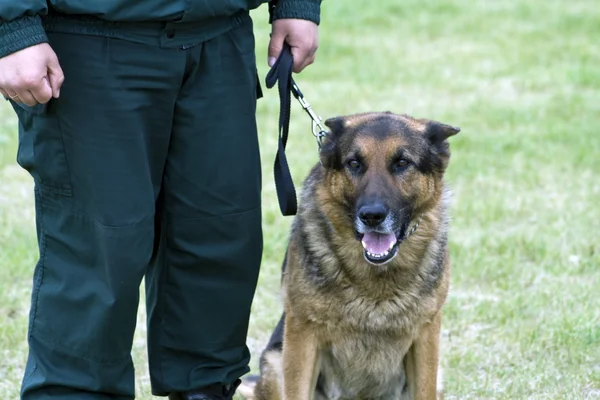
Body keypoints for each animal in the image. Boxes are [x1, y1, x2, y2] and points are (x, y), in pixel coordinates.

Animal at [239, 111, 460, 398]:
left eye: (402, 163)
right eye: (354, 163)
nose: (372, 216)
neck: (376, 281)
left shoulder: (426, 336)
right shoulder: (302, 334)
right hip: (276, 363)